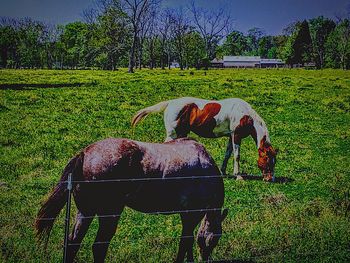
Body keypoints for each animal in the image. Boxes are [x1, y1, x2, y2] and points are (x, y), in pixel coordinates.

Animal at [34, 139, 227, 262]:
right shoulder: (191, 215)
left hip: (85, 212)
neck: (205, 169)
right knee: (99, 246)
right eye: (214, 240)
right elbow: (185, 242)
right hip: (110, 214)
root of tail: (84, 154)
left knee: (73, 242)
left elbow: (186, 242)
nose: (206, 259)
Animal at [133, 98, 278, 183]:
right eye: (267, 160)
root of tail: (170, 103)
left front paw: (223, 172)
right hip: (173, 134)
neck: (245, 115)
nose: (270, 179)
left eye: (274, 161)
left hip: (181, 133)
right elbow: (236, 156)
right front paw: (238, 176)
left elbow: (228, 154)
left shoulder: (230, 136)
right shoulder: (236, 135)